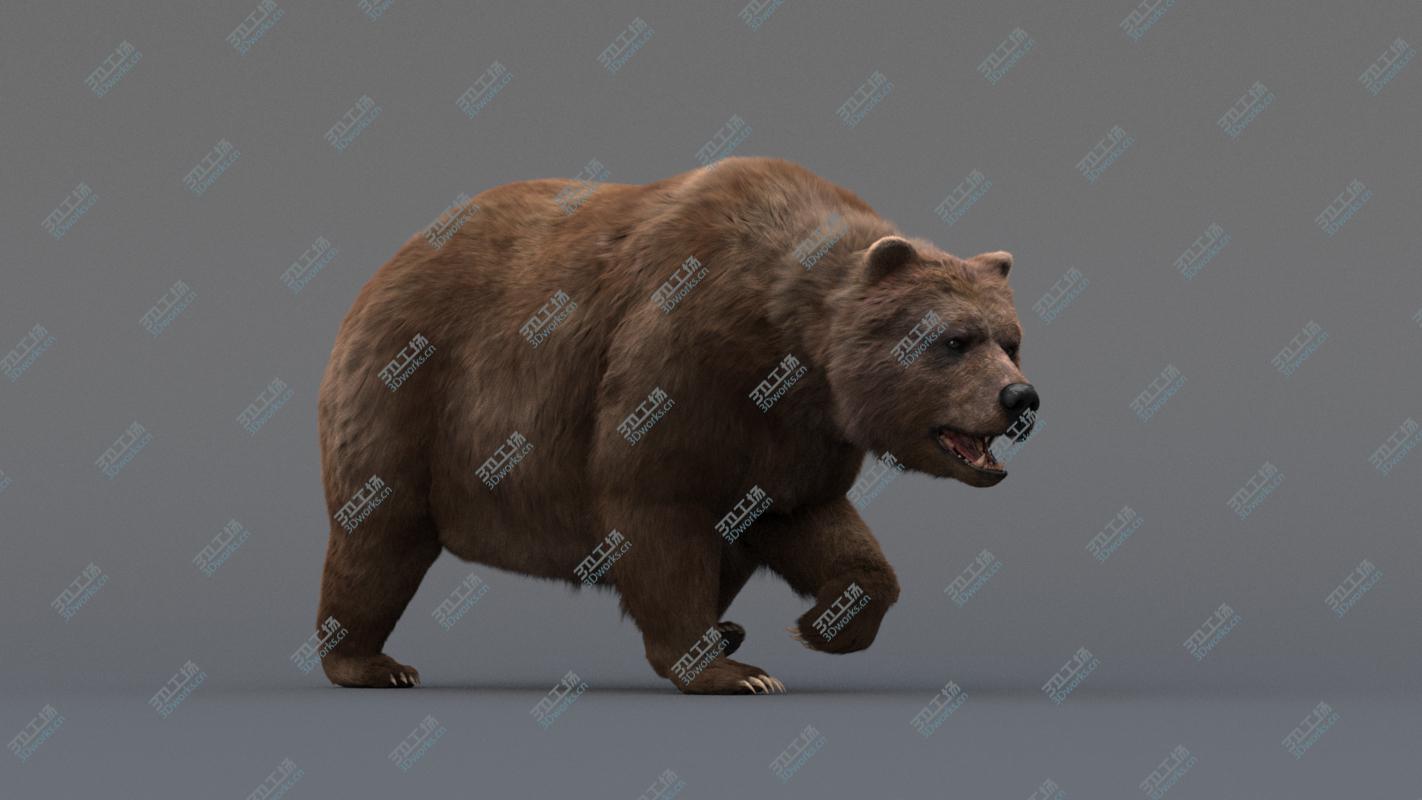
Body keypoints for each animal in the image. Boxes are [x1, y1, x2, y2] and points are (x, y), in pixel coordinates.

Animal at [314, 156, 1038, 694]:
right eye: (955, 340)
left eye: (1012, 339)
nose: (1021, 398)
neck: (787, 341)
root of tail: (387, 265)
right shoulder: (680, 360)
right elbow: (656, 509)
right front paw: (730, 671)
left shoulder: (793, 435)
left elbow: (810, 520)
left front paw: (822, 624)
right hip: (411, 395)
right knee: (380, 534)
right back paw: (372, 663)